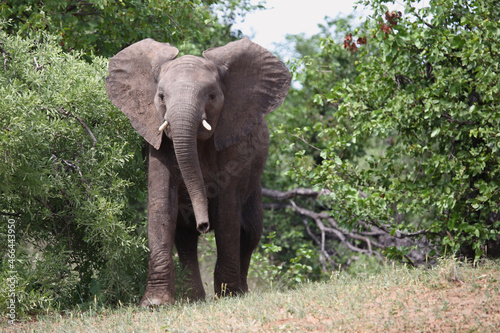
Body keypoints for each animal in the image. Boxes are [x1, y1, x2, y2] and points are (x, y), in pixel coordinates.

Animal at [107, 37, 292, 304]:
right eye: (161, 96)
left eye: (212, 96)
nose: (203, 224)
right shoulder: (159, 140)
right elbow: (161, 206)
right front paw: (154, 304)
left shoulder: (233, 138)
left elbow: (227, 212)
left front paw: (228, 296)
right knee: (184, 236)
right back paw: (192, 298)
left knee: (250, 232)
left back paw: (240, 292)